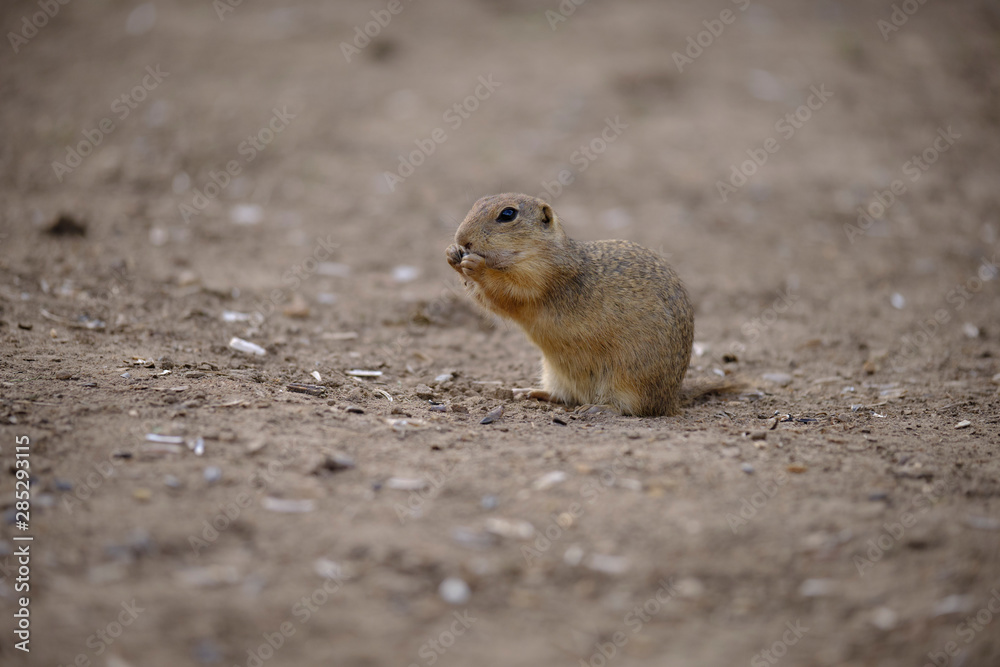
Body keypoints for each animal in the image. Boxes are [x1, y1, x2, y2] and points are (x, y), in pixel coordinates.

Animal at [446, 193, 697, 417]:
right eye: (477, 202)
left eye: (508, 214)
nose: (462, 239)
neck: (538, 253)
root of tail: (671, 400)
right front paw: (452, 254)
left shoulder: (541, 278)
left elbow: (508, 292)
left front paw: (476, 266)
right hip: (553, 373)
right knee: (565, 396)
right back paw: (531, 392)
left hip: (630, 381)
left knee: (634, 408)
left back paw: (598, 408)